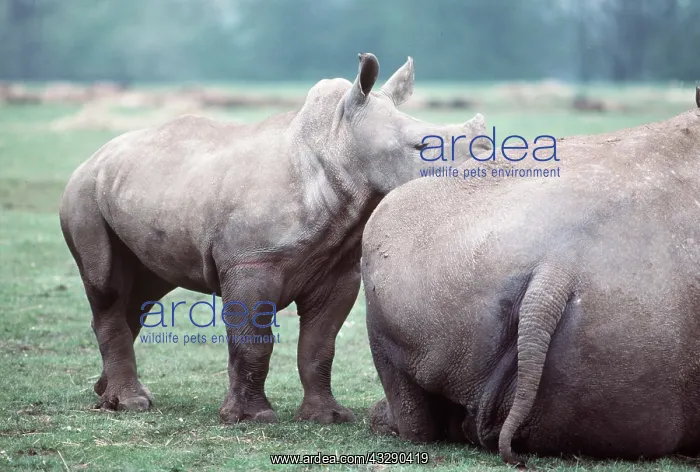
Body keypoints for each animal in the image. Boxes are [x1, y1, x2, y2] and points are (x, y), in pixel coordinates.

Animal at [59, 52, 490, 424]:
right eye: (422, 147)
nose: (483, 164)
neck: (338, 142)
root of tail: (94, 157)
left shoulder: (338, 270)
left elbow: (320, 345)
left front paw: (327, 417)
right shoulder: (252, 262)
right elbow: (253, 341)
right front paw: (252, 418)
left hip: (139, 185)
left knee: (142, 291)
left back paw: (108, 394)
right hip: (83, 192)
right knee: (107, 285)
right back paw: (130, 404)